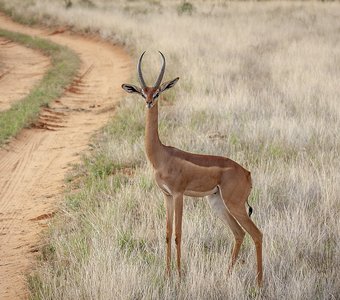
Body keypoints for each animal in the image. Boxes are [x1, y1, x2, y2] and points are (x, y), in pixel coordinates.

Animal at [121, 51, 262, 286]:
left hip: (235, 205)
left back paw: (259, 284)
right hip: (217, 203)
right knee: (239, 234)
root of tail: (247, 173)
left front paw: (178, 276)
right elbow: (167, 233)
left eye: (157, 92)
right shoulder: (167, 196)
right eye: (142, 92)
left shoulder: (179, 195)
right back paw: (227, 276)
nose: (149, 102)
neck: (162, 156)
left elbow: (178, 233)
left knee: (256, 234)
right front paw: (167, 274)